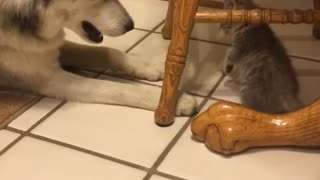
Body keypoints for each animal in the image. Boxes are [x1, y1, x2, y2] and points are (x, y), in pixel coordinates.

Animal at [0, 0, 198, 115]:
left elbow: (106, 52)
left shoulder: (50, 48)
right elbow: (113, 87)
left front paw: (150, 66)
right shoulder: (48, 77)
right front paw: (175, 100)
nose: (130, 26)